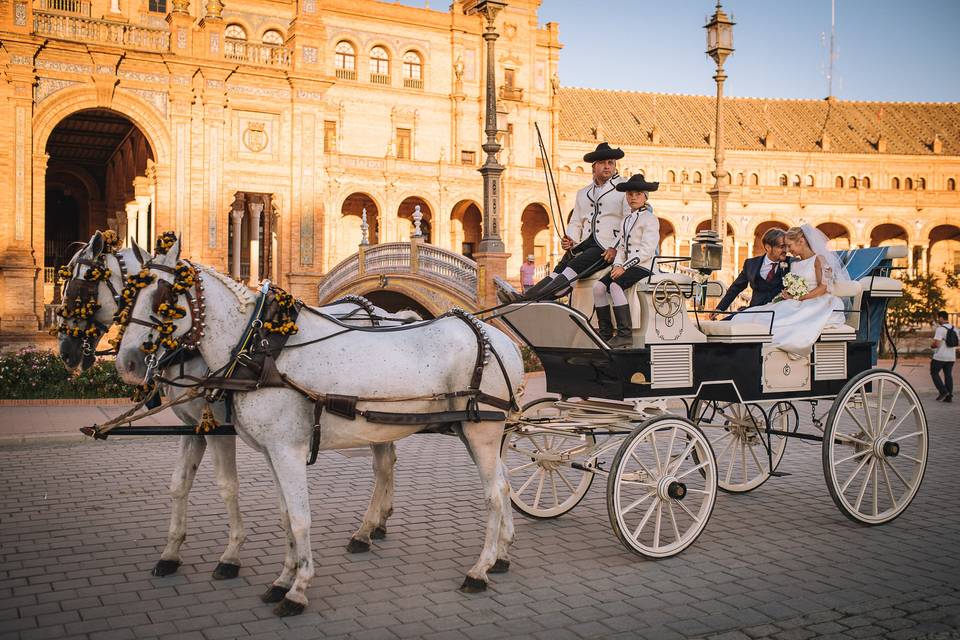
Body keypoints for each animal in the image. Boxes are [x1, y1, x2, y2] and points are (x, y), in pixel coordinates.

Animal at [58, 234, 418, 580]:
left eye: (83, 284)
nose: (66, 351)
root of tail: (393, 315)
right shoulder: (192, 425)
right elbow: (179, 483)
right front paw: (170, 553)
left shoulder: (217, 427)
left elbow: (227, 486)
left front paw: (231, 556)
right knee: (387, 461)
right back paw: (378, 523)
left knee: (382, 465)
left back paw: (365, 530)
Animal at [117, 239, 524, 616]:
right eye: (127, 294)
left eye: (163, 295)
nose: (128, 362)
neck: (263, 349)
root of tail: (501, 339)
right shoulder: (271, 452)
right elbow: (285, 516)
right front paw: (283, 579)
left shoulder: (286, 450)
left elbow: (299, 518)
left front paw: (297, 589)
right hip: (474, 429)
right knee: (501, 485)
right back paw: (501, 556)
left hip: (482, 432)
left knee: (493, 493)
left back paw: (479, 569)